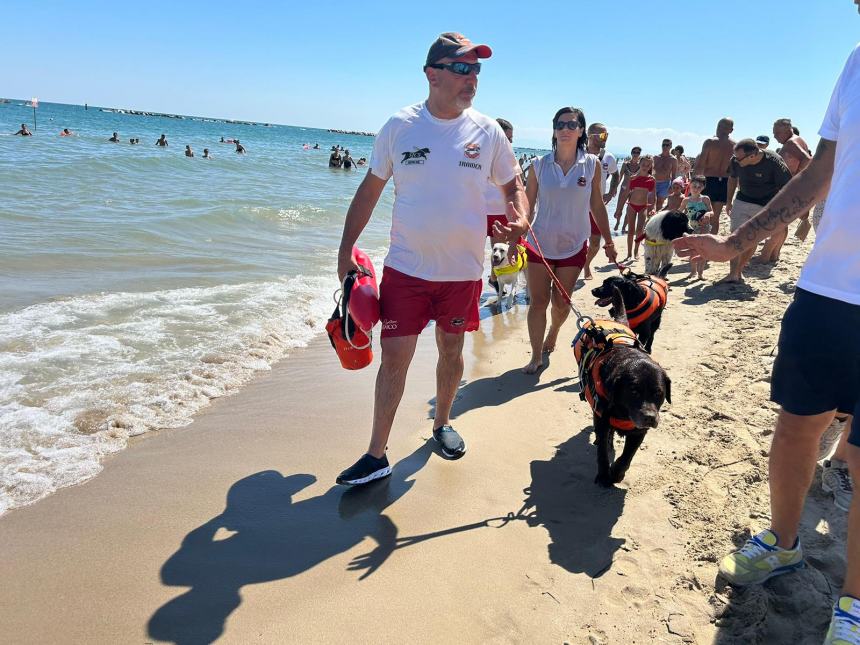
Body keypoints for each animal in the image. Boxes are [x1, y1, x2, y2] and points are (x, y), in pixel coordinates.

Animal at [580, 286, 676, 484]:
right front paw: (604, 476)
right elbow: (602, 452)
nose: (649, 417)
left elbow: (627, 456)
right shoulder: (602, 420)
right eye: (633, 391)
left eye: (659, 393)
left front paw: (617, 473)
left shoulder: (639, 432)